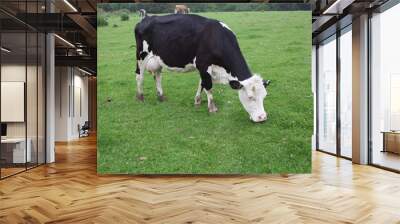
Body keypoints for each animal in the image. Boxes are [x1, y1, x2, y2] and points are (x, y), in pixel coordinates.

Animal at [135, 11, 272, 122]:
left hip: (157, 60)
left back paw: (161, 96)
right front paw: (212, 108)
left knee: (158, 76)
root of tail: (146, 18)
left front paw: (197, 101)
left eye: (264, 96)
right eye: (250, 97)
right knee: (139, 76)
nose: (262, 117)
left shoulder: (204, 68)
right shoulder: (203, 64)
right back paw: (140, 97)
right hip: (141, 55)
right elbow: (208, 86)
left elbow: (201, 84)